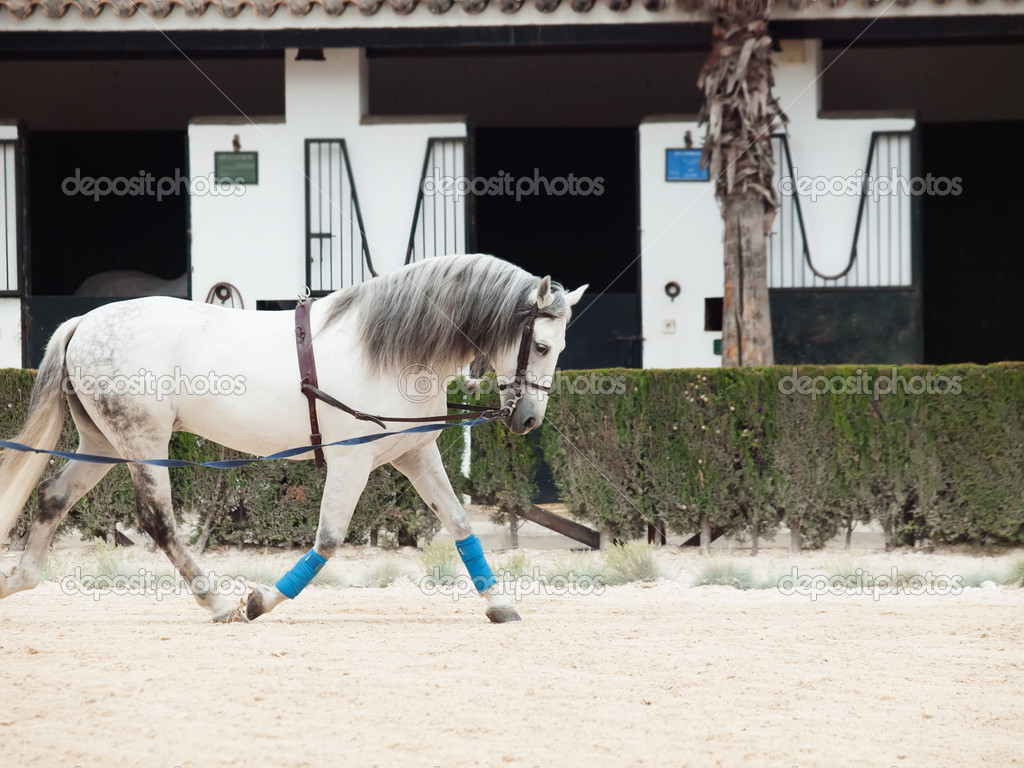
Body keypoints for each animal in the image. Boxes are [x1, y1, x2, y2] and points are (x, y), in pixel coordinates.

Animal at [0, 257, 585, 626]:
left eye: (560, 346)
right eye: (540, 344)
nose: (528, 419)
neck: (389, 350)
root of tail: (84, 322)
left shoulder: (415, 453)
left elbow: (461, 525)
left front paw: (499, 604)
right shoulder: (352, 463)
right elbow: (327, 540)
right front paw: (261, 601)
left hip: (101, 441)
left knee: (52, 495)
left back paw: (20, 580)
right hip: (143, 440)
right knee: (158, 520)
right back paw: (217, 603)